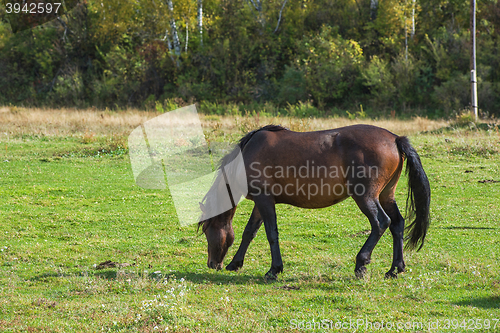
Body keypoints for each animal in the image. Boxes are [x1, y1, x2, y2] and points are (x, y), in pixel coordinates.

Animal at [198, 123, 430, 278]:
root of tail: (395, 138)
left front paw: (274, 269)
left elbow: (271, 234)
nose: (212, 264)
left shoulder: (264, 200)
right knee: (397, 224)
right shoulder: (260, 202)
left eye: (207, 230)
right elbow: (249, 232)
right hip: (386, 196)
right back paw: (395, 268)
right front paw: (235, 263)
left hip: (365, 197)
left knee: (381, 223)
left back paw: (361, 263)